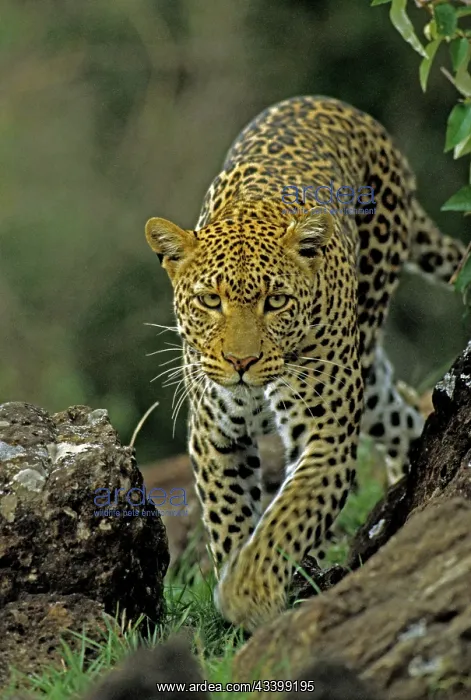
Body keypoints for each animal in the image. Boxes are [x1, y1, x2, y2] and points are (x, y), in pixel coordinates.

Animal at [145, 96, 466, 632]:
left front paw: (249, 593)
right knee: (400, 415)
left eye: (276, 301)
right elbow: (230, 516)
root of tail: (340, 106)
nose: (241, 361)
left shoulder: (325, 431)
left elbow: (288, 516)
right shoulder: (214, 431)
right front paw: (238, 593)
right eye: (210, 300)